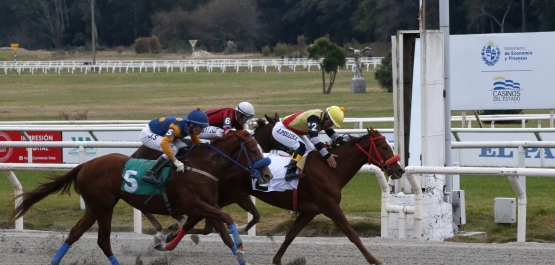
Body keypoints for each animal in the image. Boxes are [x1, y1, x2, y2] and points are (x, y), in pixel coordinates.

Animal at [10, 131, 274, 264]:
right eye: (253, 150)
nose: (268, 175)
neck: (201, 167)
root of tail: (85, 165)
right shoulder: (196, 204)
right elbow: (226, 219)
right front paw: (241, 243)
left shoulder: (207, 204)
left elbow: (224, 234)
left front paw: (240, 254)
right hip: (104, 207)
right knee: (103, 241)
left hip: (94, 207)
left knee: (74, 235)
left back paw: (55, 261)